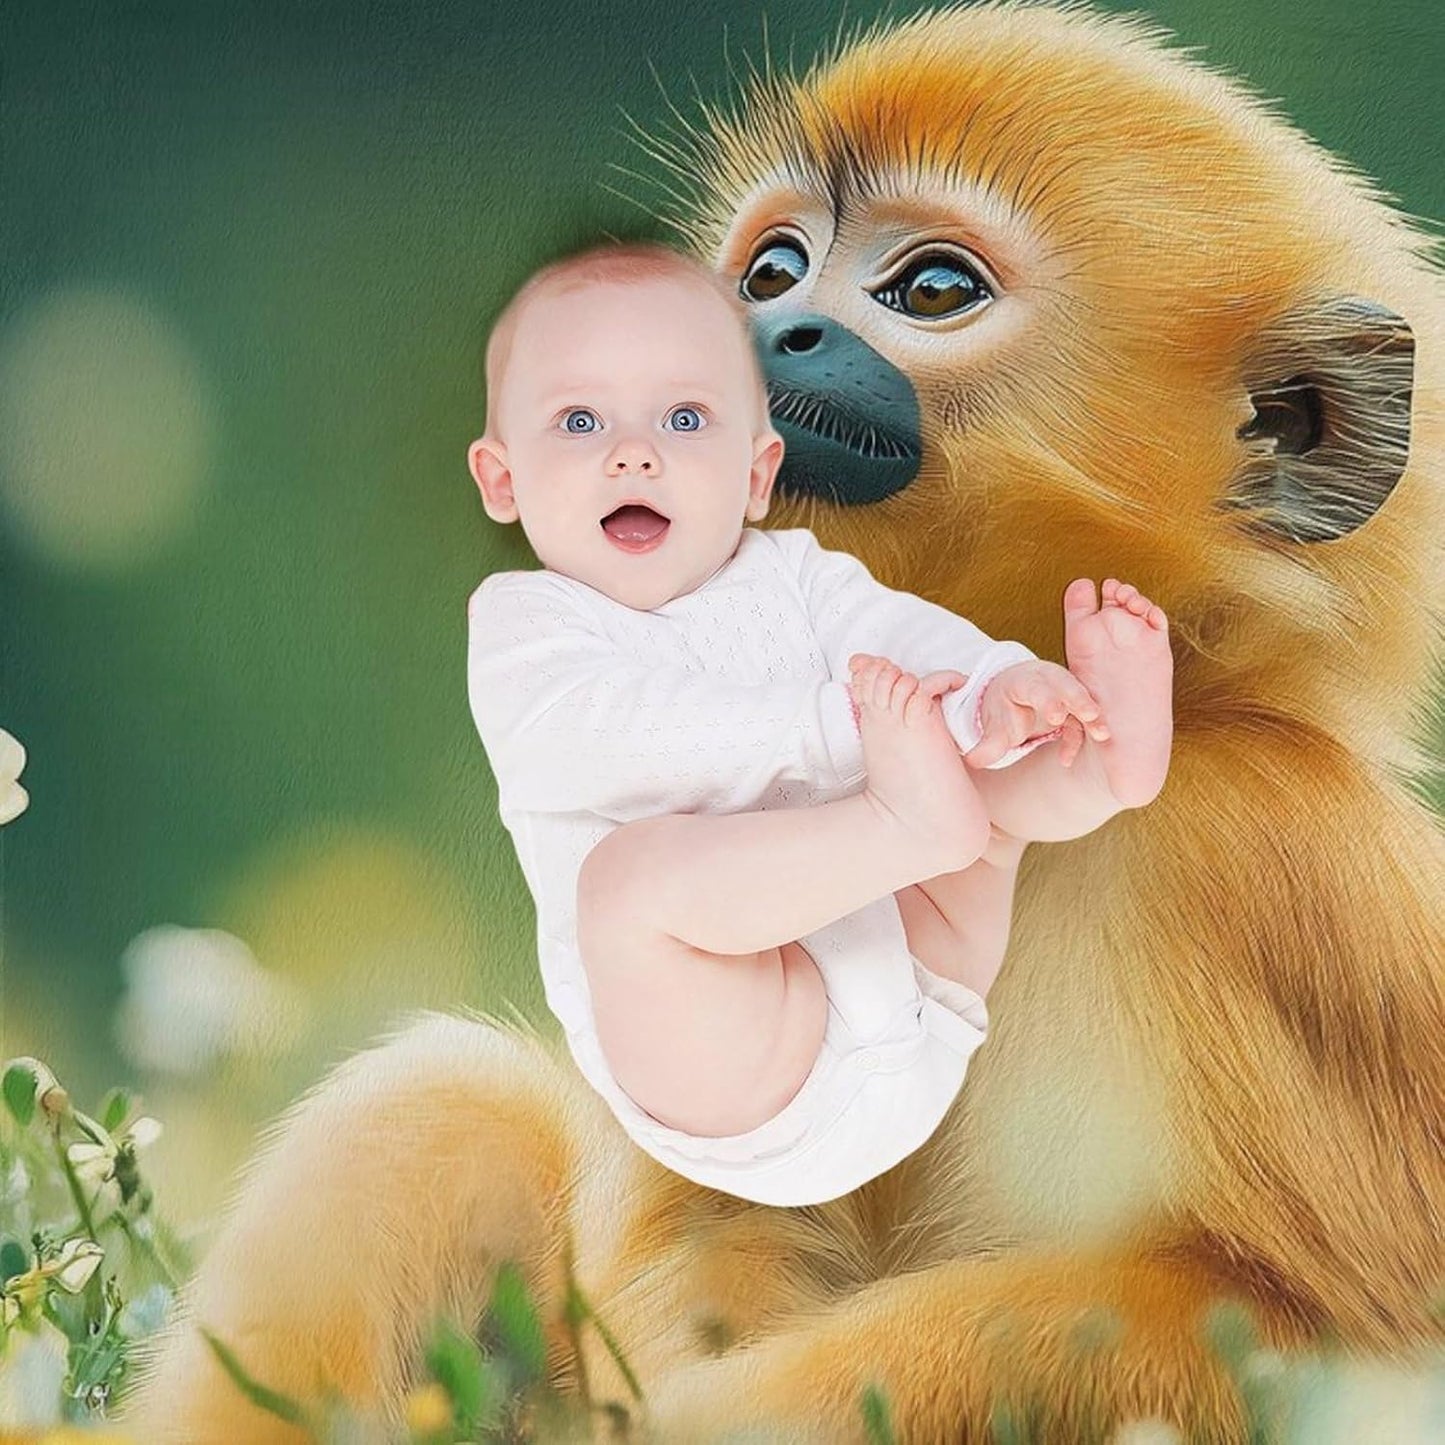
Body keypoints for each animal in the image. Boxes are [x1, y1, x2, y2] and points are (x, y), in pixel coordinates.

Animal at [126, 3, 1445, 1441]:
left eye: (931, 291)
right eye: (770, 271)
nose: (758, 332)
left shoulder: (1225, 857)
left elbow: (1300, 1325)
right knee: (444, 1106)